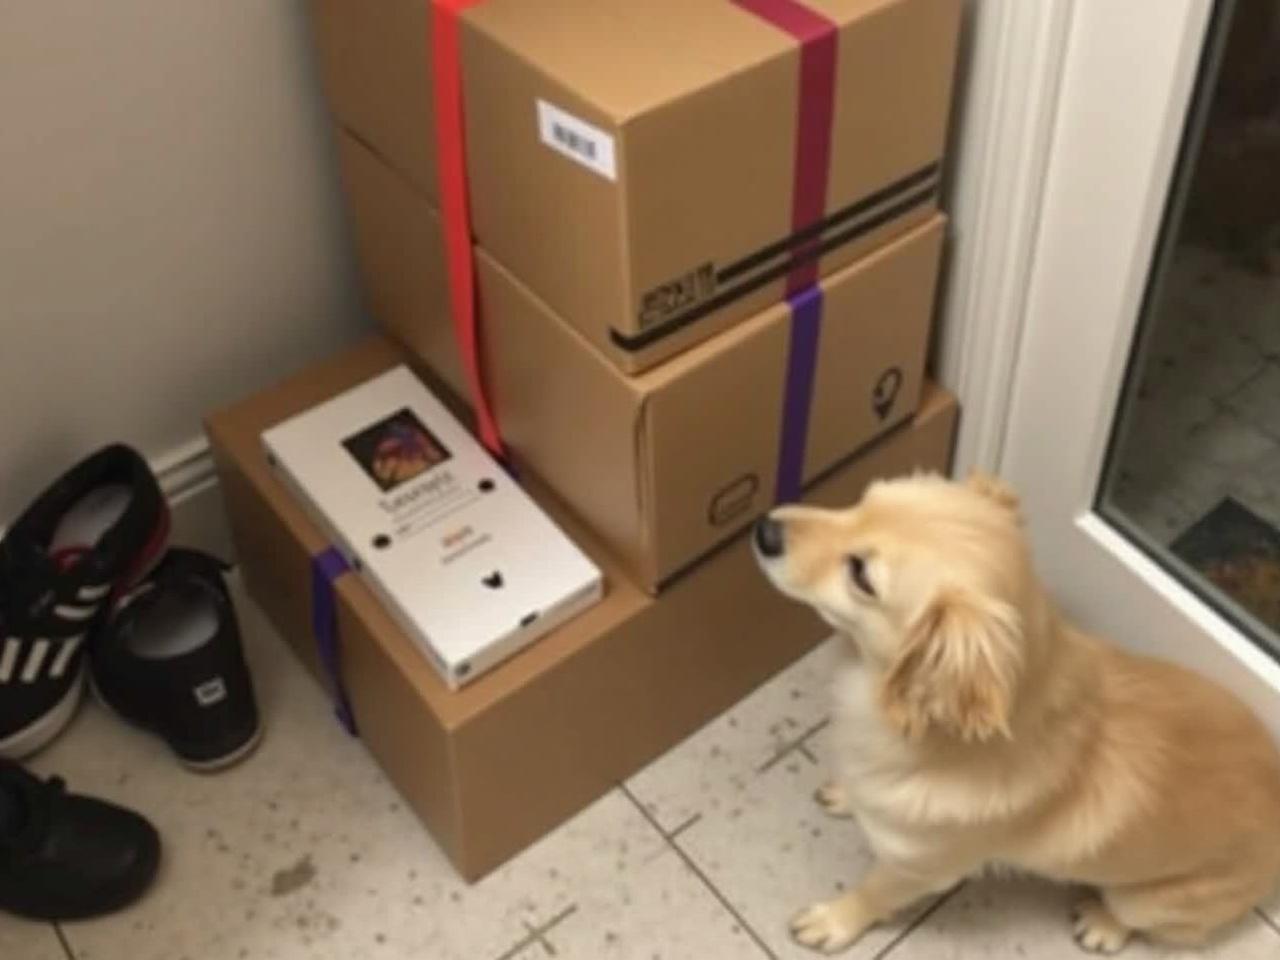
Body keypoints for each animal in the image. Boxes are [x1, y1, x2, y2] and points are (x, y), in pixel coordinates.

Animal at [747, 471, 1280, 957]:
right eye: (860, 501)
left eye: (860, 574)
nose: (764, 529)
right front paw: (847, 795)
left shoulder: (919, 868)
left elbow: (873, 893)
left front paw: (834, 921)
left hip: (1149, 898)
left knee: (1140, 920)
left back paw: (1102, 924)